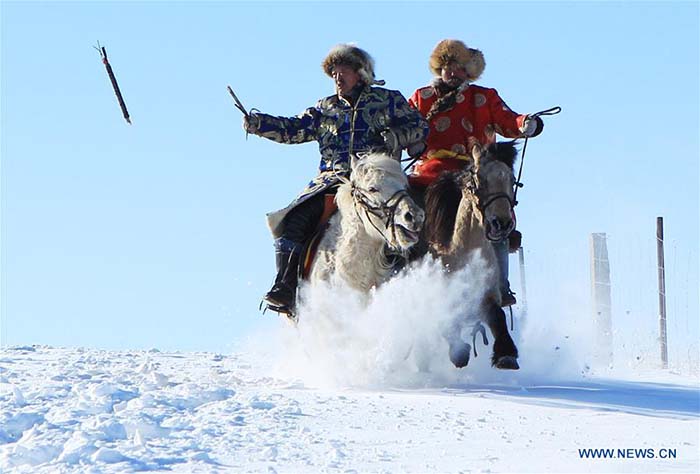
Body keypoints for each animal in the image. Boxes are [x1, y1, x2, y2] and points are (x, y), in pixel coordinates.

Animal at [422, 141, 520, 370]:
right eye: (479, 180)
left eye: (511, 180)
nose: (502, 223)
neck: (462, 253)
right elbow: (447, 323)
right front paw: (459, 352)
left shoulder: (486, 296)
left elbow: (497, 315)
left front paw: (506, 354)